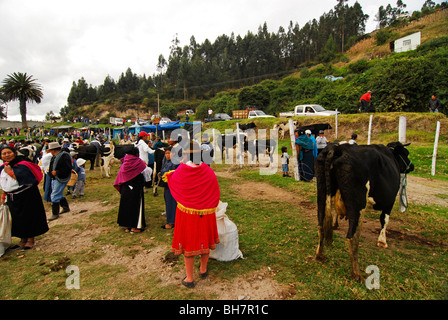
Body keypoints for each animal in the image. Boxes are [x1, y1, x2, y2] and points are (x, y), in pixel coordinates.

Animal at [314, 141, 414, 282]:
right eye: (406, 153)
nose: (412, 166)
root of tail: (337, 148)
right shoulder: (390, 201)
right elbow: (385, 219)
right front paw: (382, 241)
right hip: (358, 205)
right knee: (352, 237)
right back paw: (357, 274)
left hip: (322, 193)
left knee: (321, 225)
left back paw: (320, 255)